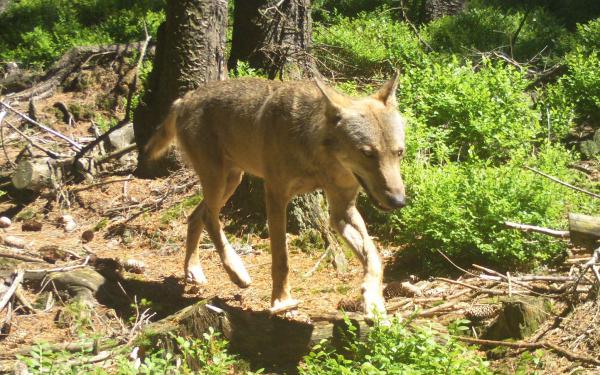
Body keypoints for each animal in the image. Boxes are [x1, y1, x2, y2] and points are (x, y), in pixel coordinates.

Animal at [146, 74, 408, 318]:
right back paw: (236, 271)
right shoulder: (275, 194)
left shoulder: (341, 211)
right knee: (210, 218)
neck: (316, 157)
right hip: (219, 180)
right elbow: (282, 259)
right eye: (368, 154)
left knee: (195, 216)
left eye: (399, 153)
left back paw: (193, 270)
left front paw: (373, 302)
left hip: (232, 180)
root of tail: (184, 99)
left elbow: (374, 258)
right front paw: (282, 302)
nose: (399, 202)